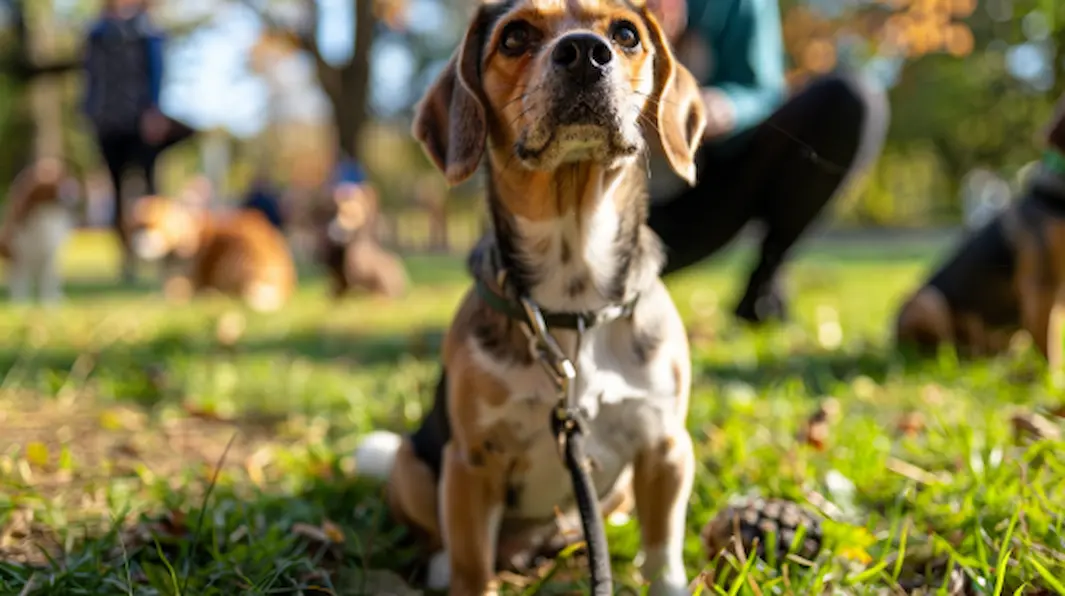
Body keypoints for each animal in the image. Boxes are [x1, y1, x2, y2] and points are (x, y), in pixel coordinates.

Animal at [0, 156, 79, 304]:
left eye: (68, 175)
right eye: (59, 179)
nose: (76, 188)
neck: (44, 210)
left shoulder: (49, 256)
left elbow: (48, 282)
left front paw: (50, 304)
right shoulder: (19, 254)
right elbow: (21, 281)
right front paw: (20, 304)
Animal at [353, 0, 707, 591]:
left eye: (626, 34)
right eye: (514, 37)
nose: (585, 52)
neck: (572, 297)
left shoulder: (665, 448)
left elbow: (663, 553)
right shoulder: (472, 463)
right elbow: (473, 566)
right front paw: (462, 573)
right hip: (411, 461)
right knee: (439, 535)